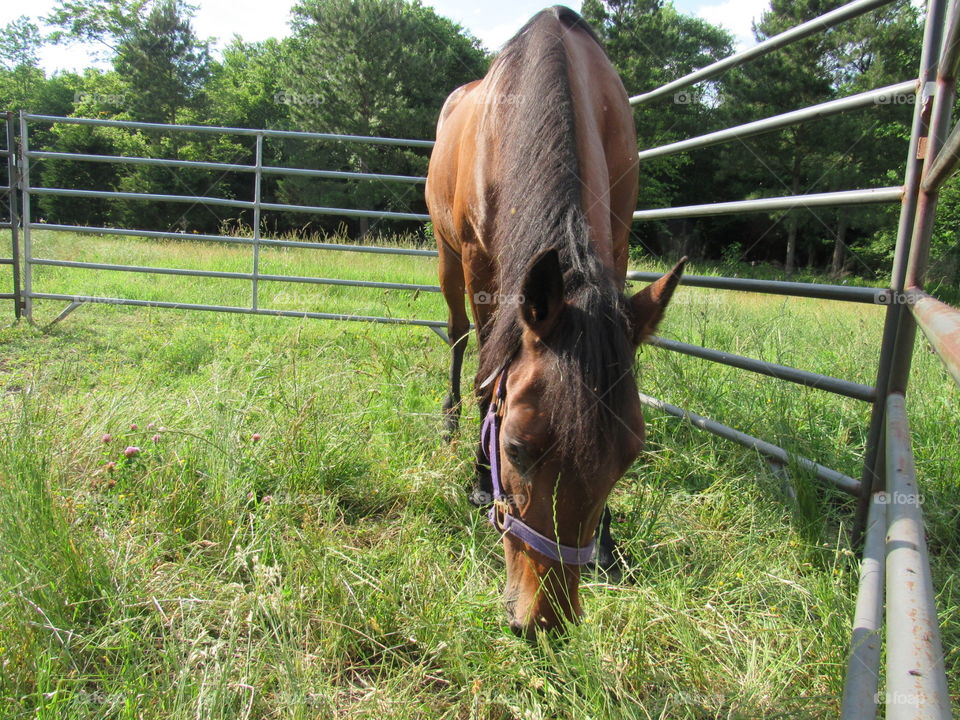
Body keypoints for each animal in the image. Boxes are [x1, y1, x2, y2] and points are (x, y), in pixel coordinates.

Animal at [425, 5, 686, 637]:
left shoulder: (615, 249)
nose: (544, 621)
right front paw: (478, 482)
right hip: (447, 258)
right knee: (459, 337)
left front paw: (609, 543)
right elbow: (487, 377)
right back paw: (449, 421)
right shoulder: (481, 263)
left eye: (630, 454)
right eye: (515, 449)